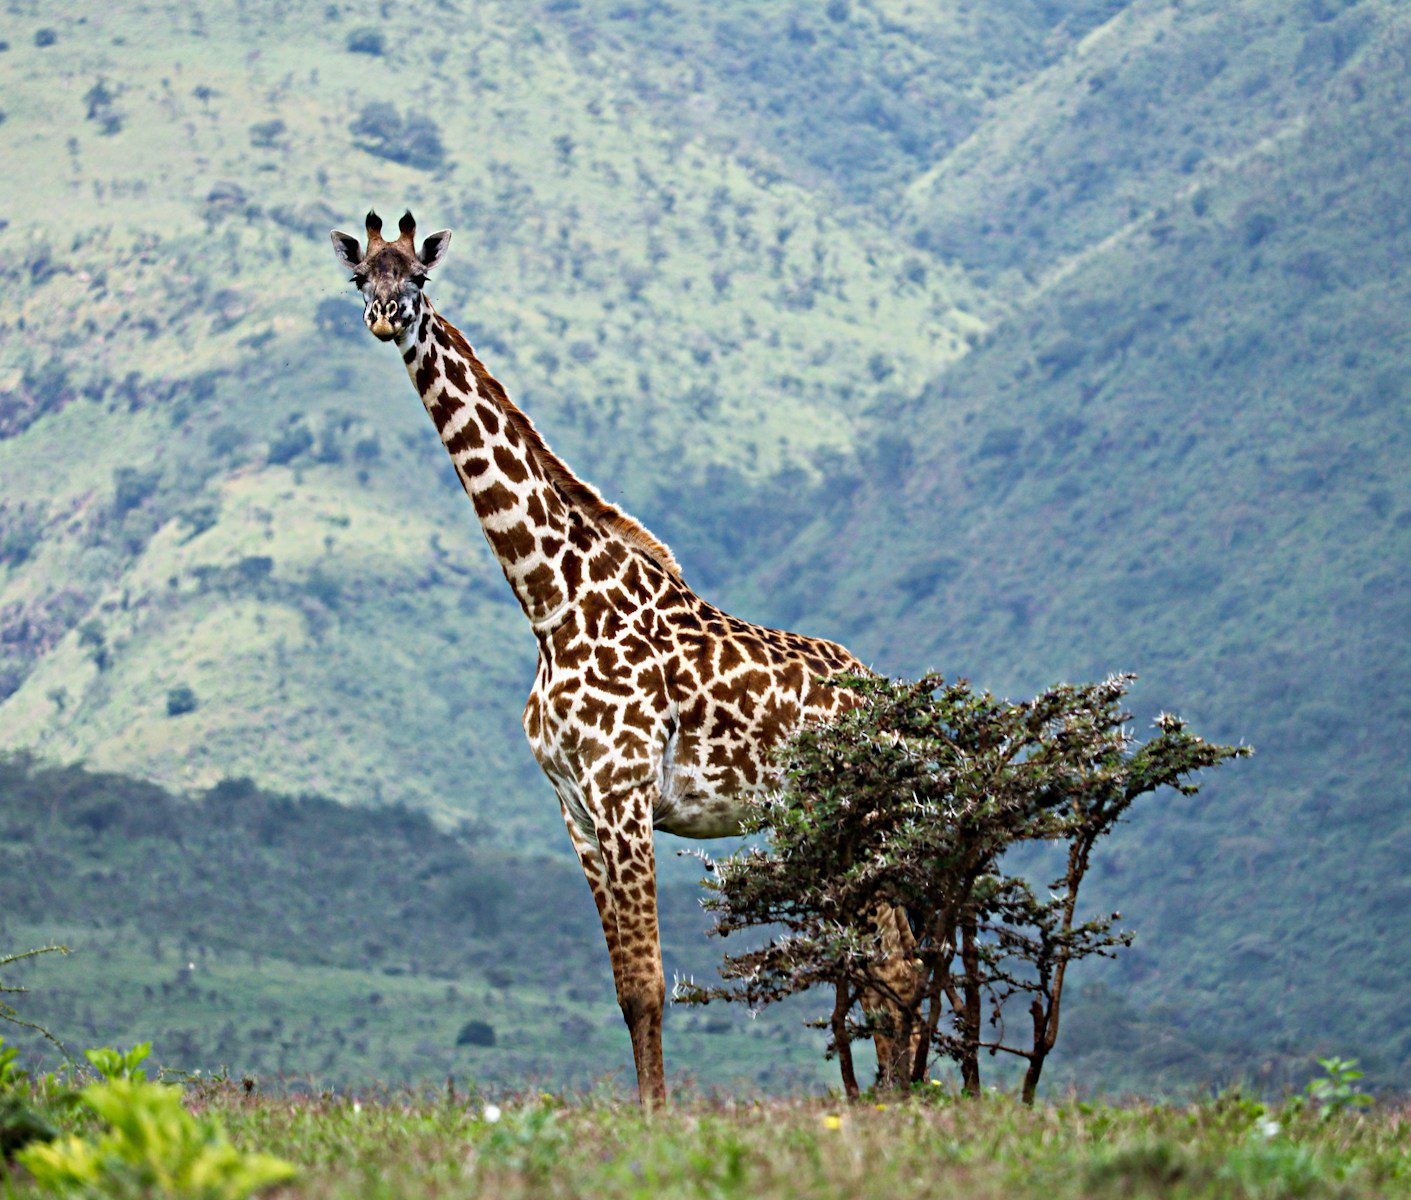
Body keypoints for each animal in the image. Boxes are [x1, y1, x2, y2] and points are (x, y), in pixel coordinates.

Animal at [330, 210, 919, 1102]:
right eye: (361, 278)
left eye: (419, 279)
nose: (384, 318)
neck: (549, 602)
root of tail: (891, 706)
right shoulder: (573, 806)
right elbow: (622, 987)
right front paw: (645, 1106)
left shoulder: (624, 792)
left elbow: (648, 985)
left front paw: (657, 1115)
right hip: (835, 827)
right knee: (889, 960)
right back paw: (897, 1098)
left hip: (864, 820)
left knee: (896, 963)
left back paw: (900, 1101)